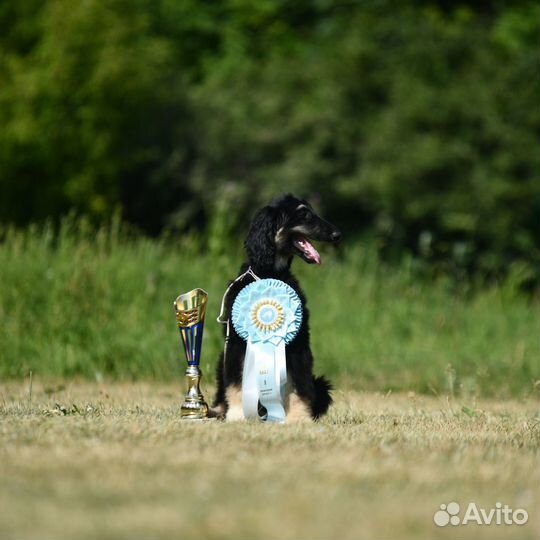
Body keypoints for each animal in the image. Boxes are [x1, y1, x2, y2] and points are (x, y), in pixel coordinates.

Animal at [212, 194, 342, 422]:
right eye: (304, 214)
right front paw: (237, 415)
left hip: (321, 384)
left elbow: (299, 384)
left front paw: (299, 418)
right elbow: (236, 382)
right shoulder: (236, 342)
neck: (271, 274)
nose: (337, 235)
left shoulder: (298, 341)